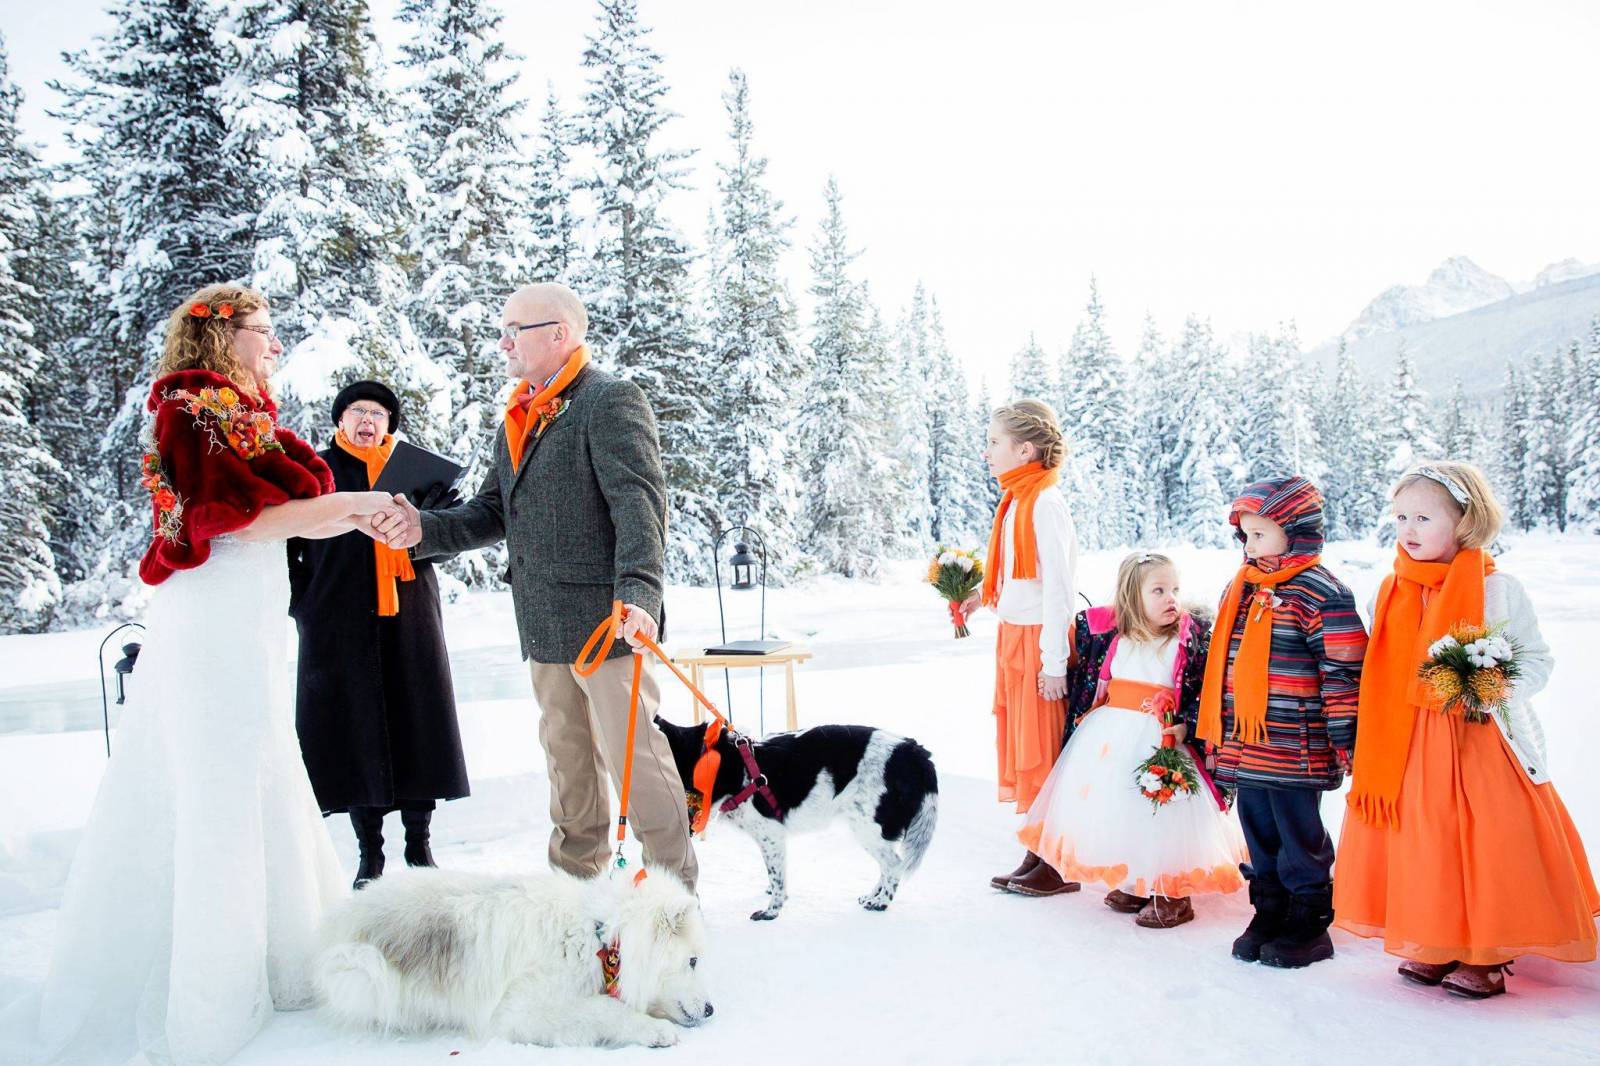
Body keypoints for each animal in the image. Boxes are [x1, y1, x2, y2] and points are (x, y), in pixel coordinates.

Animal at [312, 864, 713, 1043]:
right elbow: (605, 1009)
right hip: (365, 973)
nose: (711, 1009)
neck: (599, 937)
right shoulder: (521, 1009)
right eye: (693, 961)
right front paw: (654, 1031)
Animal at [652, 717, 934, 915]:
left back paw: (881, 902)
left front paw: (772, 910)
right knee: (886, 866)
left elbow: (776, 878)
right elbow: (776, 875)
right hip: (870, 830)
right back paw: (873, 895)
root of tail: (913, 750)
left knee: (894, 865)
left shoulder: (771, 835)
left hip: (870, 827)